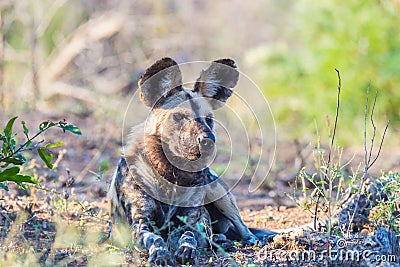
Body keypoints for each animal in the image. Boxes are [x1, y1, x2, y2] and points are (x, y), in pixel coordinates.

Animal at [109, 58, 272, 266]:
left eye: (209, 119)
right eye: (178, 116)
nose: (208, 140)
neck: (171, 176)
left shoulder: (195, 221)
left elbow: (189, 235)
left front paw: (186, 249)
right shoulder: (140, 224)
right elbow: (155, 238)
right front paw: (161, 253)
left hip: (220, 195)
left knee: (243, 228)